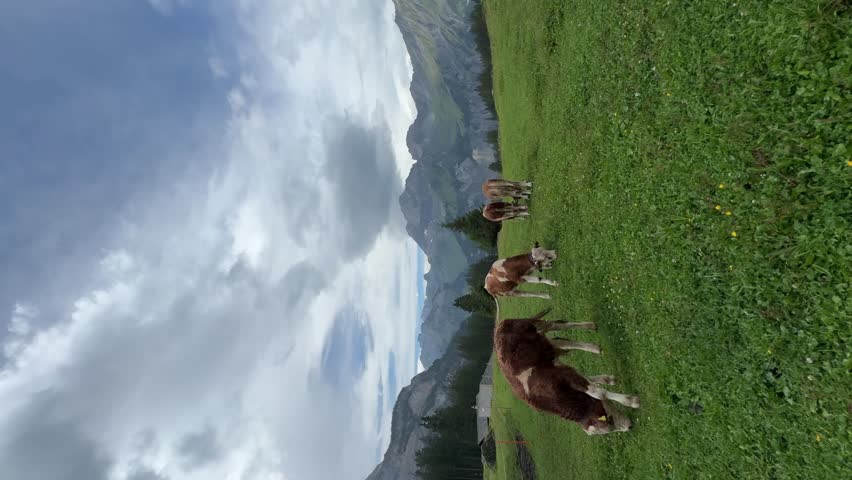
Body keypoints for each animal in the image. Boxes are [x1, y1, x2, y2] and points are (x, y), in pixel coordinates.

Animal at [494, 308, 639, 435]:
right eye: (610, 423)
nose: (629, 426)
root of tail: (500, 325)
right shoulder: (562, 371)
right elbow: (595, 387)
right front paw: (608, 380)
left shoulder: (564, 375)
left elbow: (599, 393)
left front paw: (631, 401)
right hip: (546, 346)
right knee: (561, 342)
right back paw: (593, 347)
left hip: (539, 326)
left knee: (558, 325)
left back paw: (589, 326)